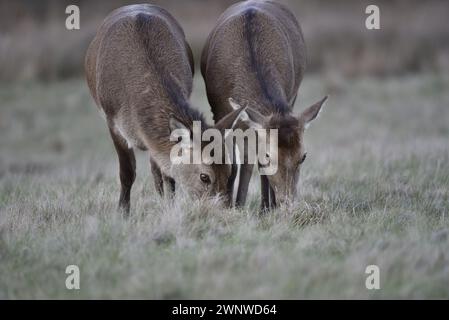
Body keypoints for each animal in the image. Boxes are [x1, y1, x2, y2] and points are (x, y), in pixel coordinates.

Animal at [83, 3, 245, 214]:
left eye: (230, 171)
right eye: (204, 177)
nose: (224, 211)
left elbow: (167, 173)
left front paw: (169, 207)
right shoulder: (112, 121)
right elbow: (127, 173)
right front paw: (123, 212)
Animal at [201, 0, 328, 210]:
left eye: (303, 156)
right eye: (269, 156)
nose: (288, 203)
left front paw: (266, 207)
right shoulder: (220, 111)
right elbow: (237, 159)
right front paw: (232, 204)